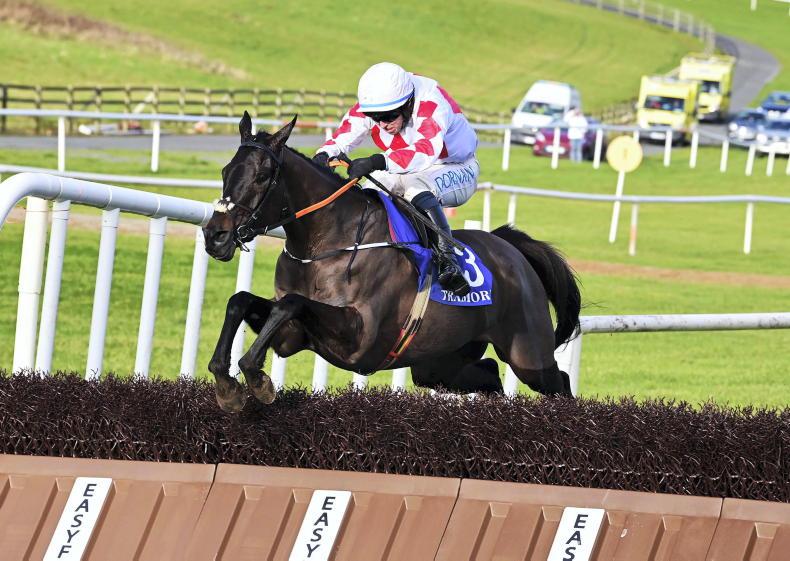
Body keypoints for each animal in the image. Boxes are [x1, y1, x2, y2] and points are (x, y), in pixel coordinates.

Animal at [202, 112, 581, 412]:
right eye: (225, 170)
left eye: (262, 176)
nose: (215, 235)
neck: (326, 244)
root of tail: (510, 248)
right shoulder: (292, 337)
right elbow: (241, 301)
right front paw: (227, 383)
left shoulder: (358, 337)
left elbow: (290, 303)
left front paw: (254, 375)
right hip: (439, 363)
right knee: (489, 375)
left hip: (529, 354)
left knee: (559, 381)